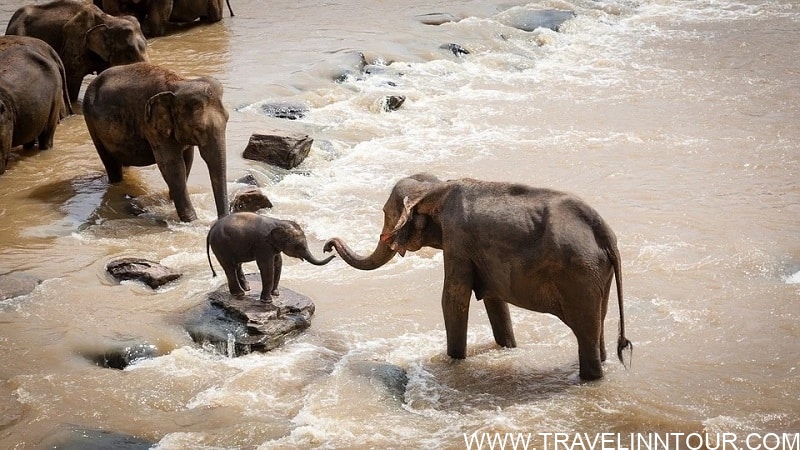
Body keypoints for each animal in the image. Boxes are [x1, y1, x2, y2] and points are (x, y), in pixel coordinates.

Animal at [82, 62, 229, 222]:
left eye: (227, 119)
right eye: (198, 127)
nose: (220, 219)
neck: (179, 83)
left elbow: (187, 160)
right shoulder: (151, 125)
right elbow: (172, 166)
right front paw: (191, 220)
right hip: (92, 125)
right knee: (110, 163)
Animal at [206, 212, 335, 301]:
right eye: (298, 246)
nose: (332, 252)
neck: (279, 222)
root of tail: (211, 229)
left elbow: (278, 263)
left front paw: (276, 294)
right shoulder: (263, 245)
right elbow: (267, 267)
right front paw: (267, 300)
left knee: (236, 265)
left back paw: (246, 288)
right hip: (220, 246)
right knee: (230, 267)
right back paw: (239, 293)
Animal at [324, 173, 632, 381]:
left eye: (386, 213)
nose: (327, 246)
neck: (436, 188)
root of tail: (605, 234)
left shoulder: (457, 241)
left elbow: (452, 299)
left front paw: (453, 362)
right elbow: (495, 301)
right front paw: (508, 347)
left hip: (580, 275)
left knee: (585, 331)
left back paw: (590, 378)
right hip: (597, 276)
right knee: (598, 325)